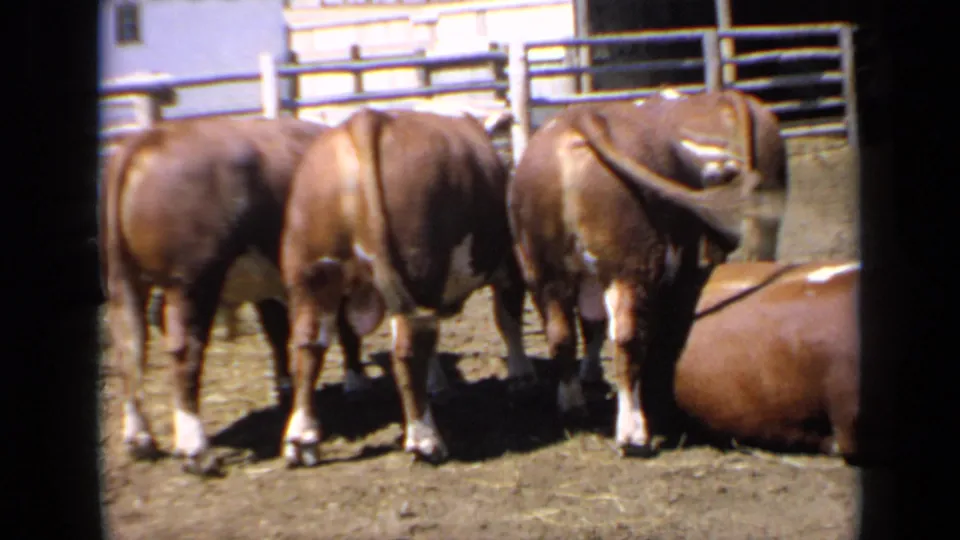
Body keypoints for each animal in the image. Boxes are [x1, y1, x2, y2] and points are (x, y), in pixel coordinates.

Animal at [279, 107, 534, 467]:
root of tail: (364, 121)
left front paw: (439, 386)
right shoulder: (508, 265)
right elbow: (508, 320)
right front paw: (521, 376)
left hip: (313, 279)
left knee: (308, 345)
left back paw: (302, 438)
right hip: (416, 276)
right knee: (409, 348)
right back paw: (425, 438)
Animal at [507, 88, 787, 455]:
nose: (731, 236)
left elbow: (591, 326)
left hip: (543, 272)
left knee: (561, 334)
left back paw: (572, 405)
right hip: (632, 267)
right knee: (628, 337)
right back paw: (633, 431)